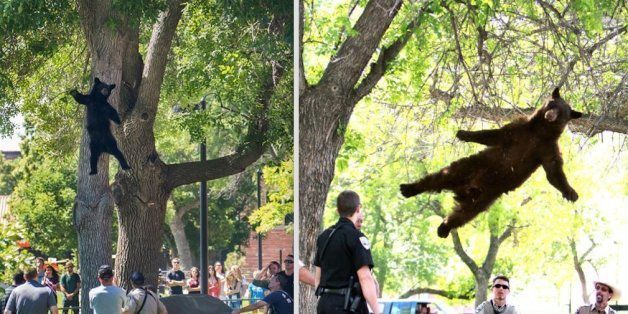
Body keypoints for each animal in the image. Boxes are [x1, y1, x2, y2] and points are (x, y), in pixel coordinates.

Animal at [402, 88, 584, 238]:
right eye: (552, 104)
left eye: (562, 113)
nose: (550, 114)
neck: (540, 132)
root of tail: (464, 190)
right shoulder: (519, 129)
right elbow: (494, 135)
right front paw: (464, 133)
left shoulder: (547, 148)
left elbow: (554, 171)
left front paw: (571, 193)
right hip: (469, 167)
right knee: (439, 178)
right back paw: (409, 188)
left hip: (485, 197)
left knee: (464, 214)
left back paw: (444, 228)